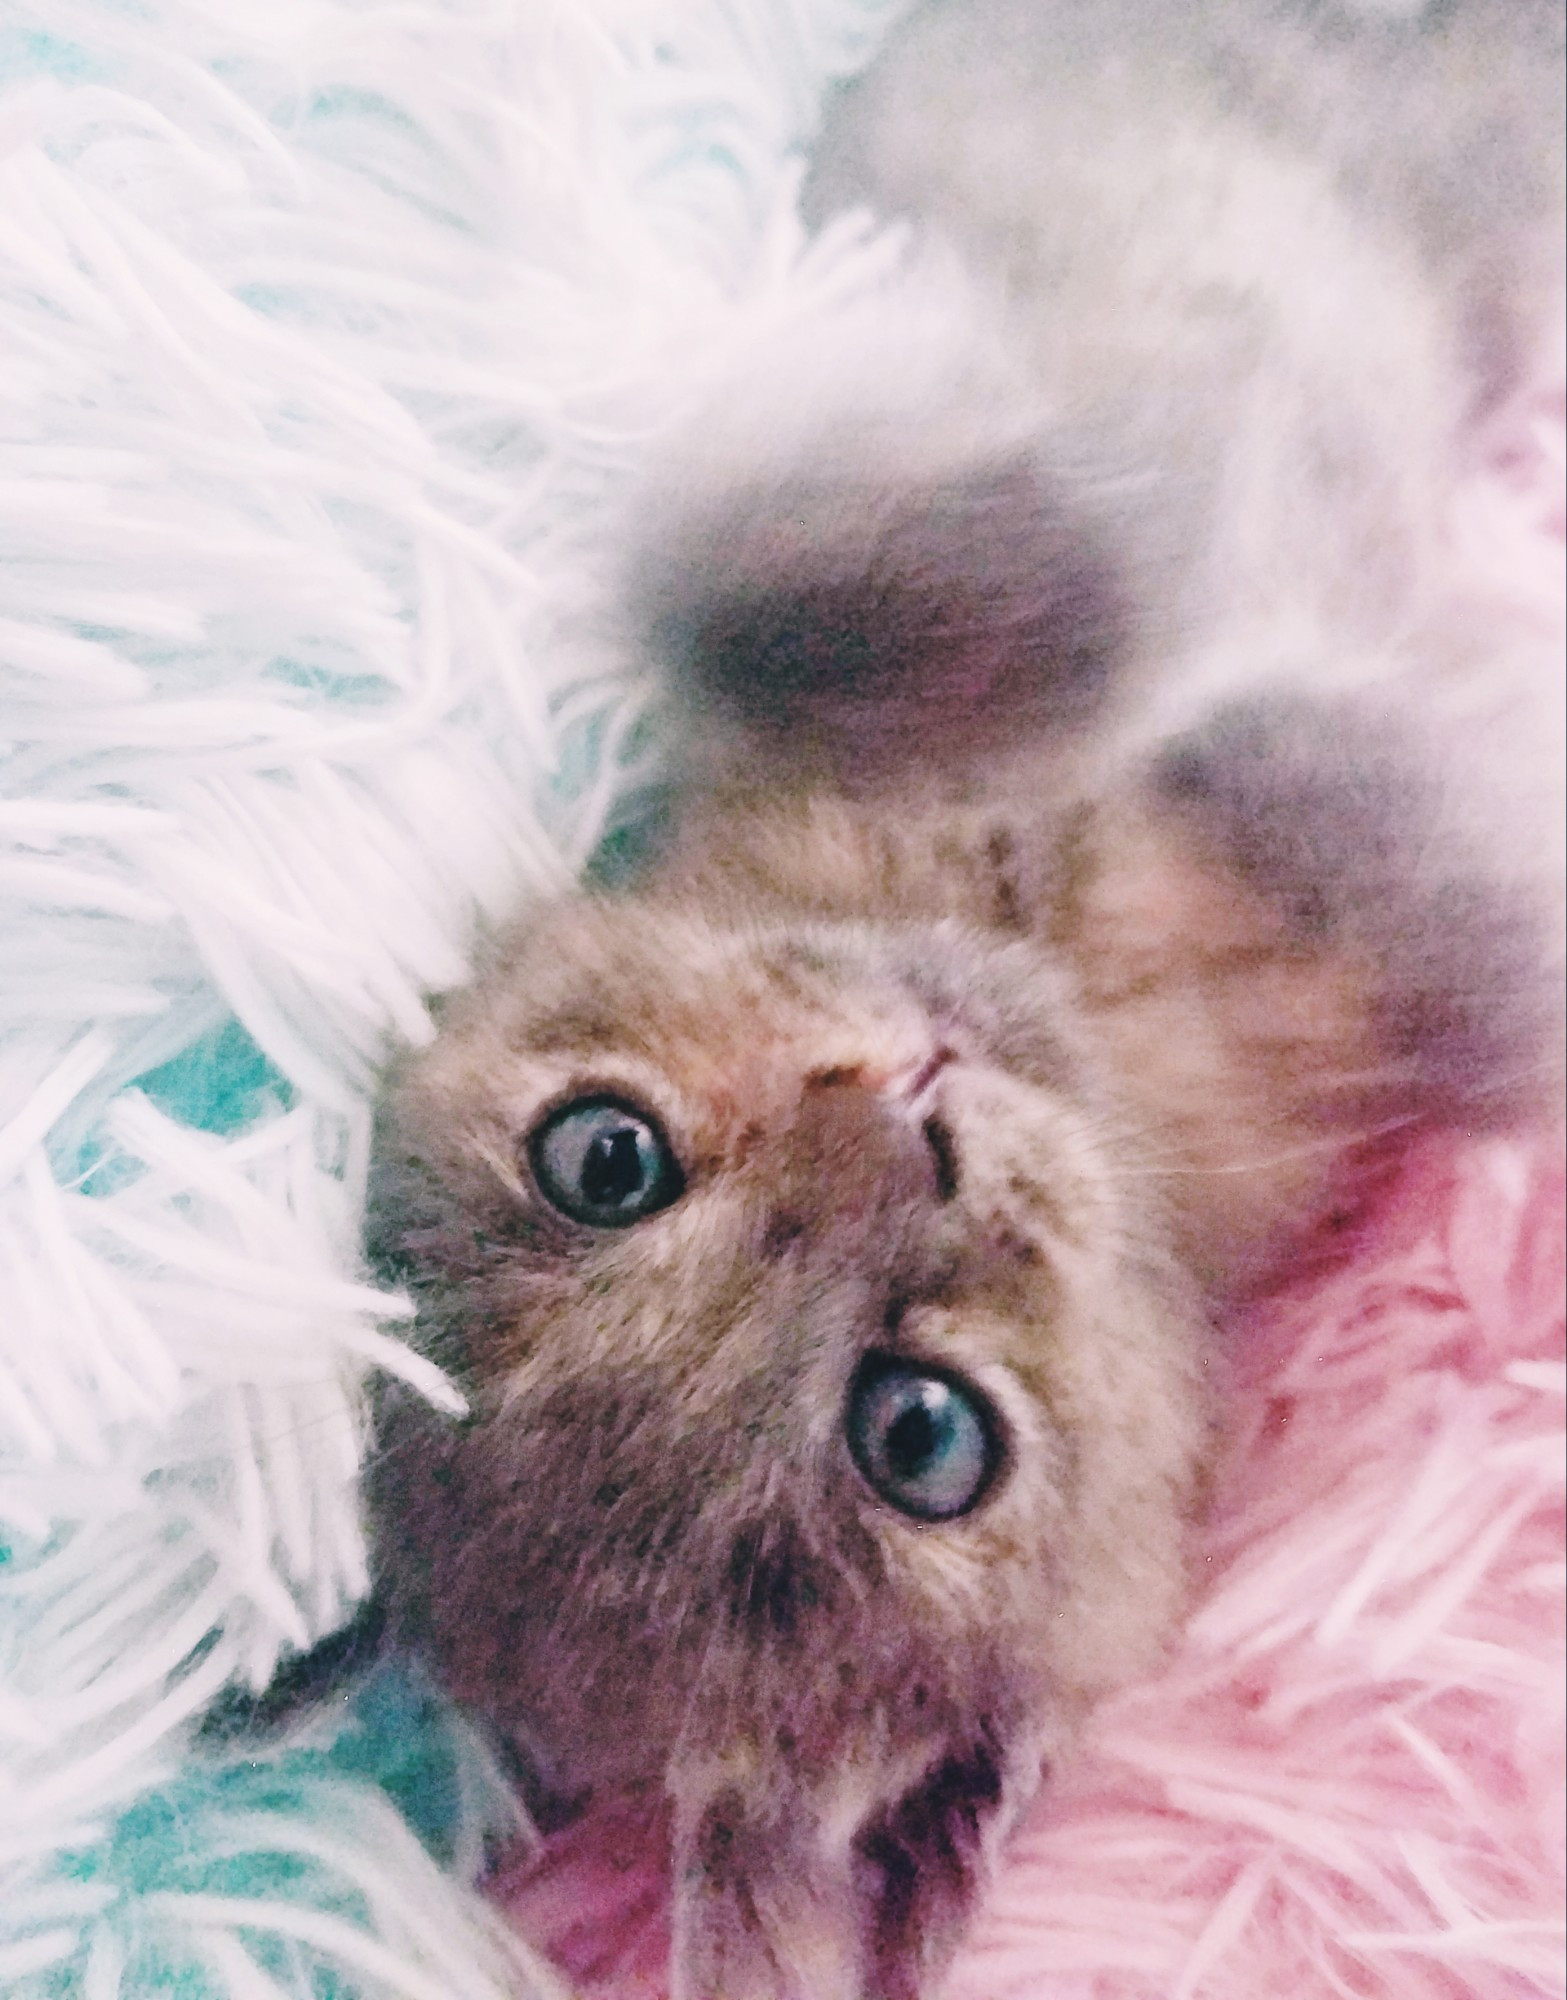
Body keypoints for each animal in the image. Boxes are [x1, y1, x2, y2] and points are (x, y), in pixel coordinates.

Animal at [363, 3, 1551, 2000]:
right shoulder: (1449, 966)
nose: (908, 1101)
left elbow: (774, 579)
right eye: (918, 1435)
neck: (1067, 973)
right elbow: (1493, 930)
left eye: (600, 1158)